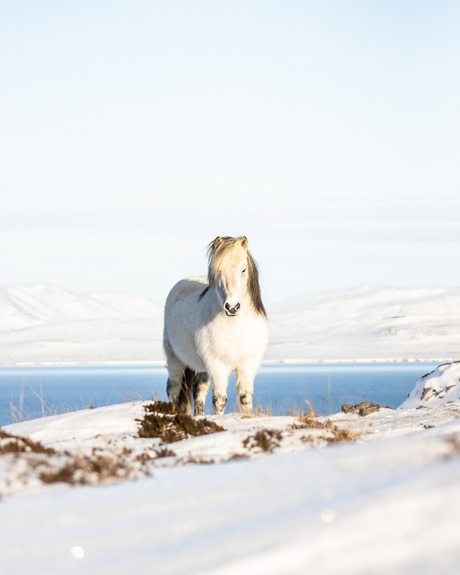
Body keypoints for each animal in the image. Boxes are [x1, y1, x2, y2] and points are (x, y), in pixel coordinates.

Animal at [163, 236, 268, 416]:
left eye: (243, 270)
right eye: (218, 271)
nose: (232, 307)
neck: (237, 329)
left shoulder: (248, 365)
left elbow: (245, 398)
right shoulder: (217, 365)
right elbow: (219, 400)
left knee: (198, 388)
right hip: (175, 359)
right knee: (173, 388)